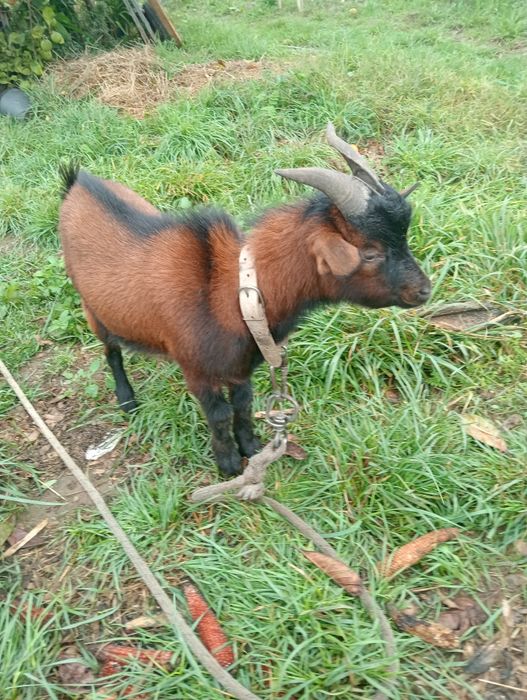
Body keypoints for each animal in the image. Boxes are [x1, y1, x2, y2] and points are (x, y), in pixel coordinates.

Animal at [58, 124, 431, 476]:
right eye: (369, 252)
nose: (423, 290)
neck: (234, 292)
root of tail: (77, 183)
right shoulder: (197, 371)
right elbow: (220, 414)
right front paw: (228, 464)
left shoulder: (239, 368)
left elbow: (243, 404)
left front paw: (251, 447)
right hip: (91, 307)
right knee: (111, 351)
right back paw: (127, 400)